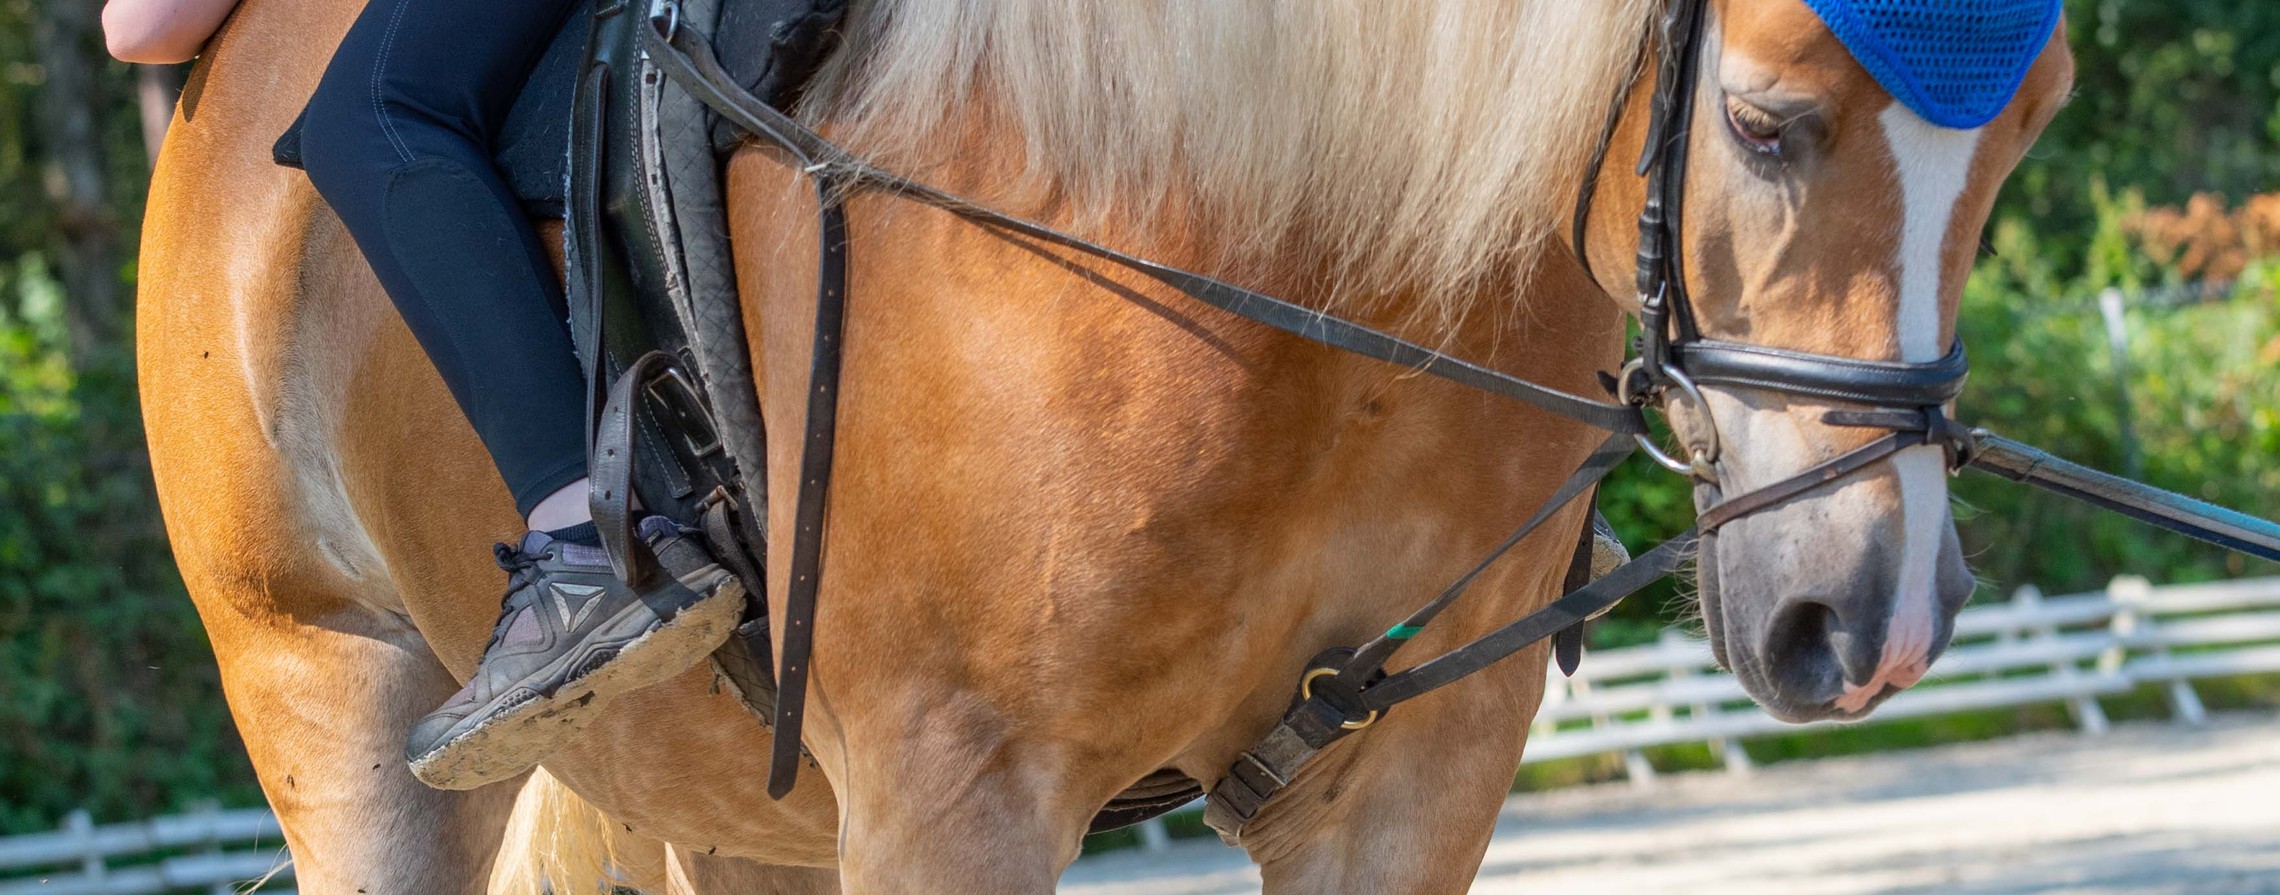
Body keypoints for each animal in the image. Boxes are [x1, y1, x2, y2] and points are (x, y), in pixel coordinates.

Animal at [135, 0, 2076, 891]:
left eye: (2027, 131)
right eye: (1762, 123)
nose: (1872, 619)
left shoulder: (1411, 781)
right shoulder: (954, 794)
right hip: (334, 698)